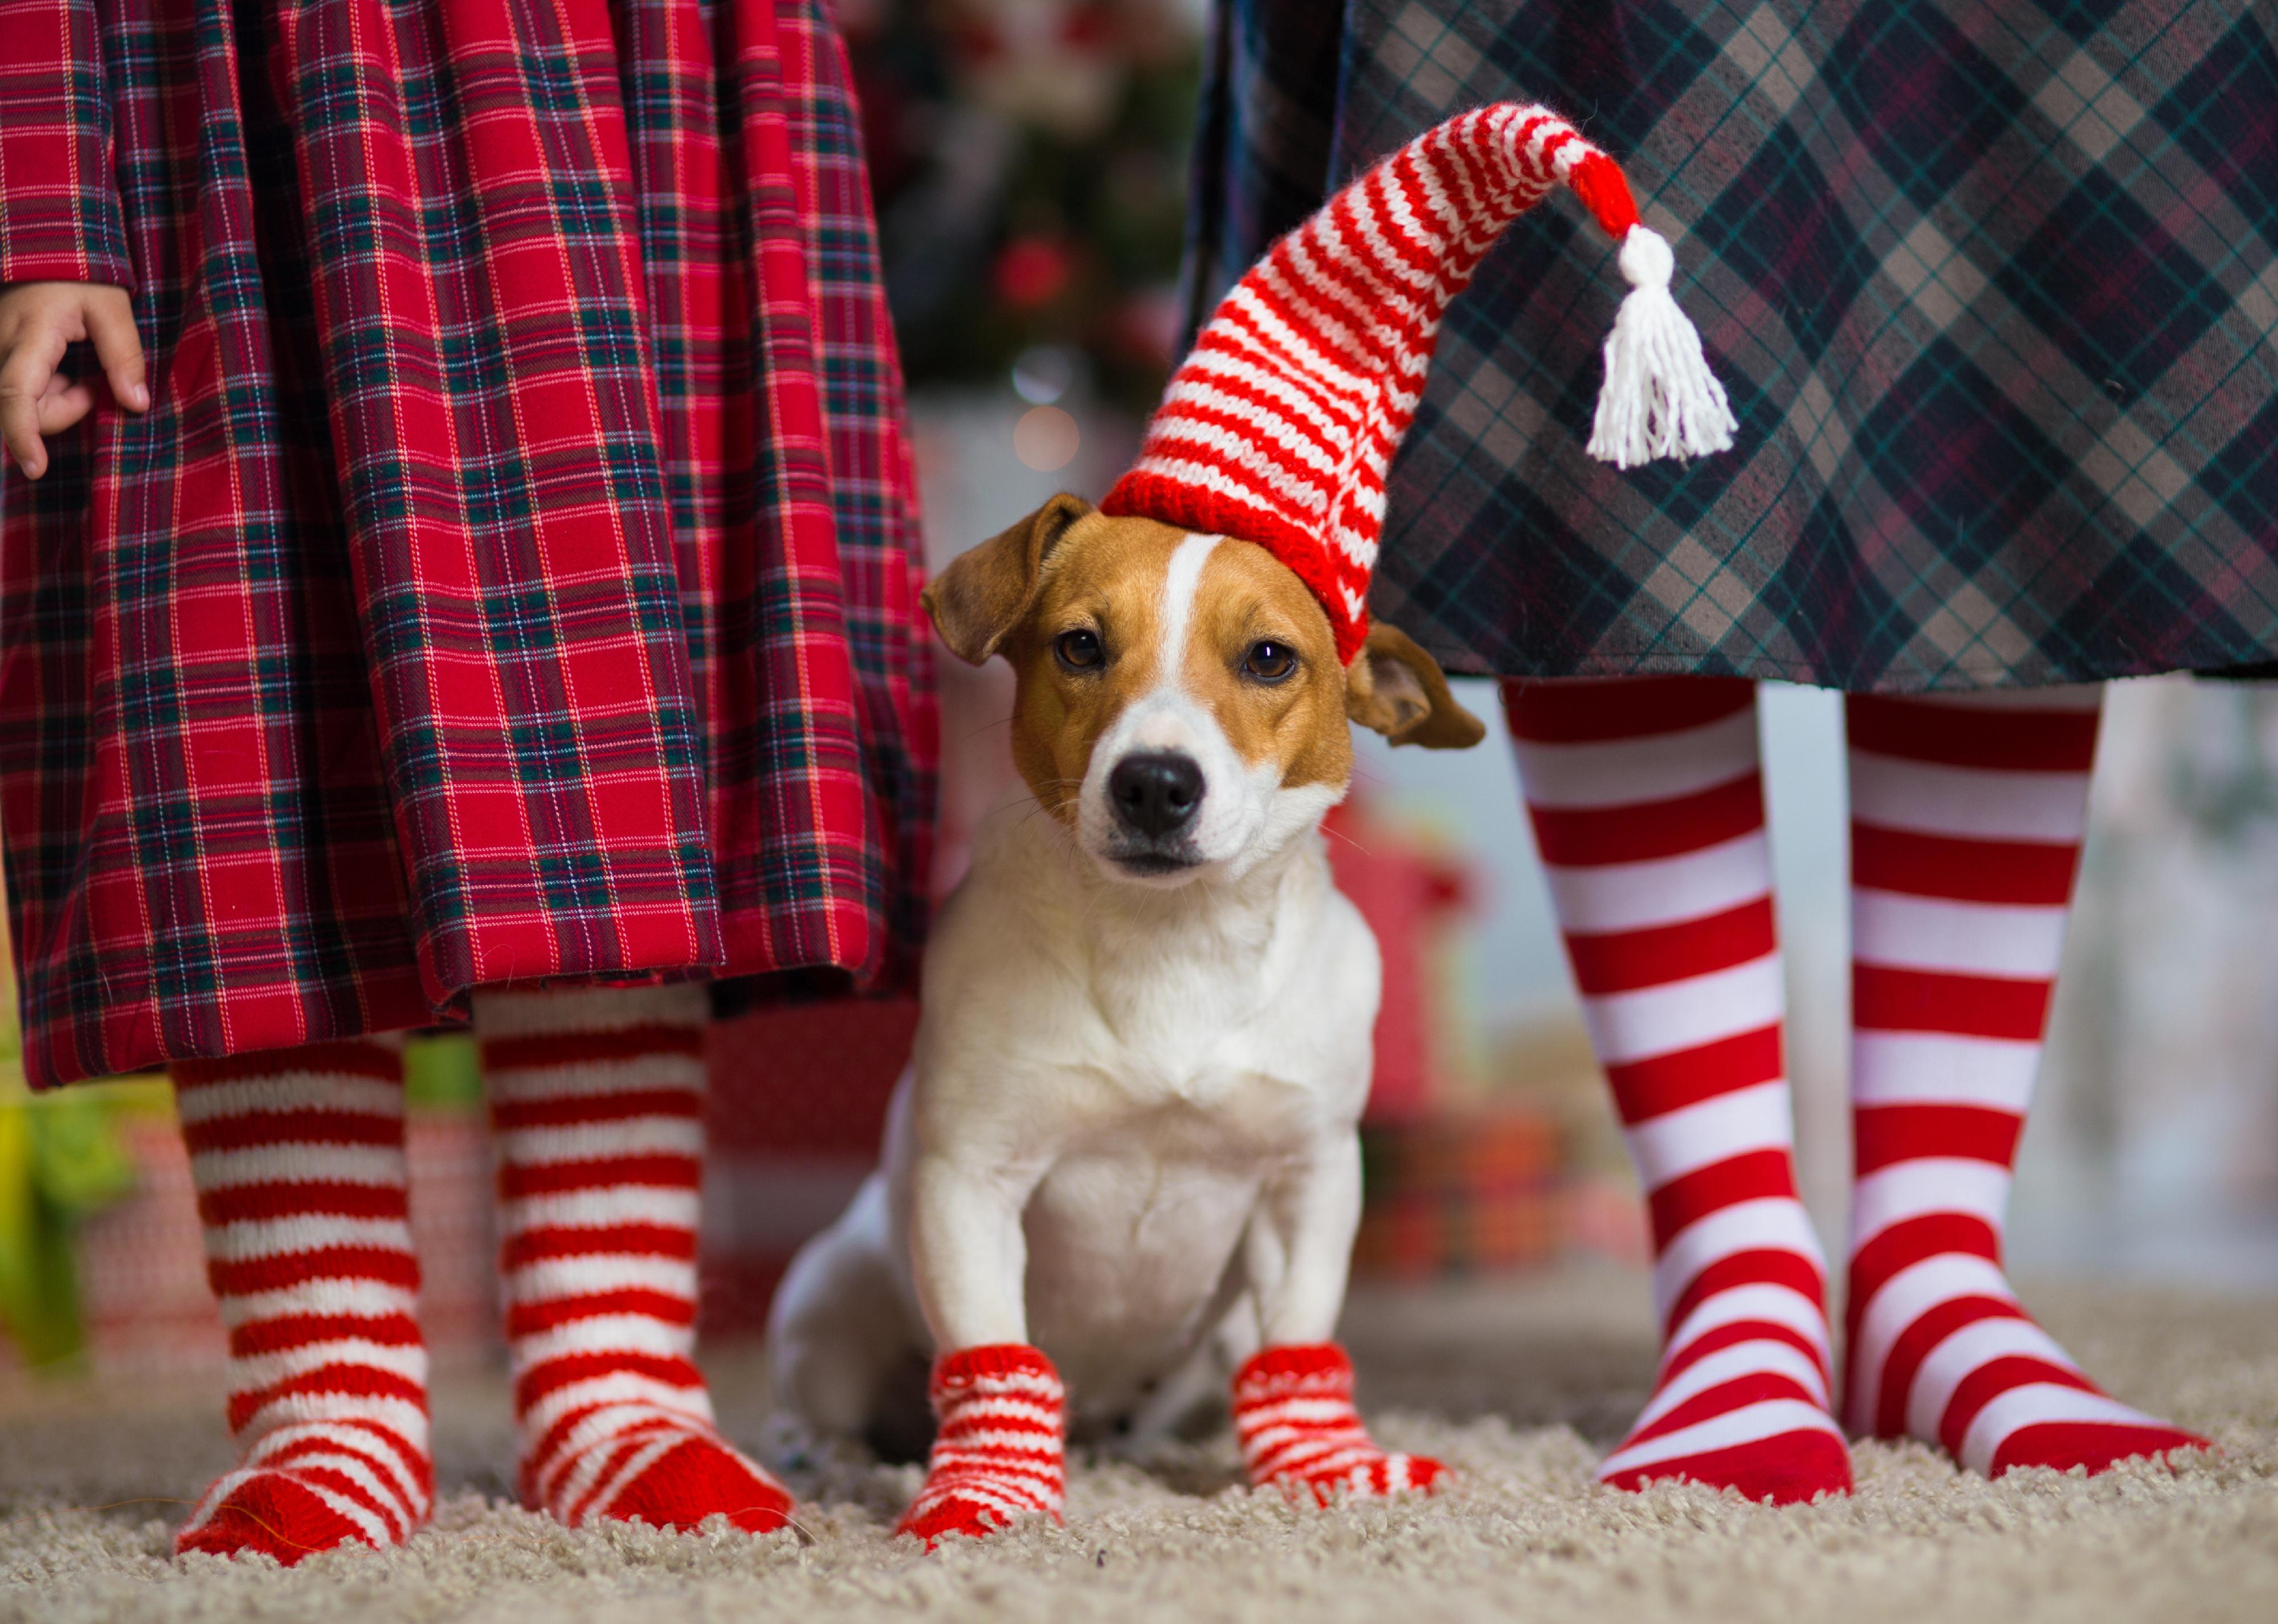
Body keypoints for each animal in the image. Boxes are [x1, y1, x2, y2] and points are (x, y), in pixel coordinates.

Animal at [761, 494, 1476, 1458]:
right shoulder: (971, 1182)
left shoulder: (1308, 1181)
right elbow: (990, 1354)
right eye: (1079, 646)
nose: (1155, 784)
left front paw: (1315, 1463)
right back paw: (820, 1457)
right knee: (819, 1403)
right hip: (827, 1299)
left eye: (1268, 657)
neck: (1169, 937)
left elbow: (1297, 1335)